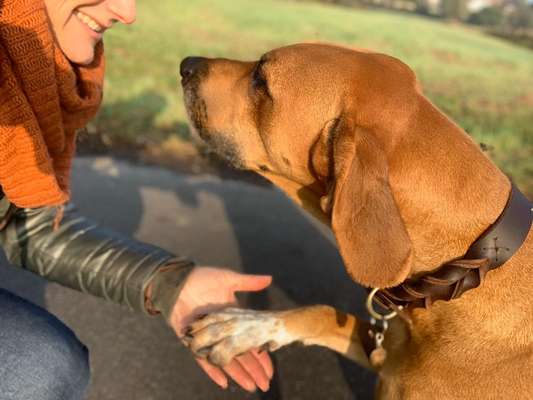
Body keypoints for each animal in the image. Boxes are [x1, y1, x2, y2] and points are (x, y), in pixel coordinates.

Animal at [180, 42, 532, 398]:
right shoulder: (383, 352)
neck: (470, 265)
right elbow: (323, 311)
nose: (186, 65)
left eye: (261, 81)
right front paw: (245, 326)